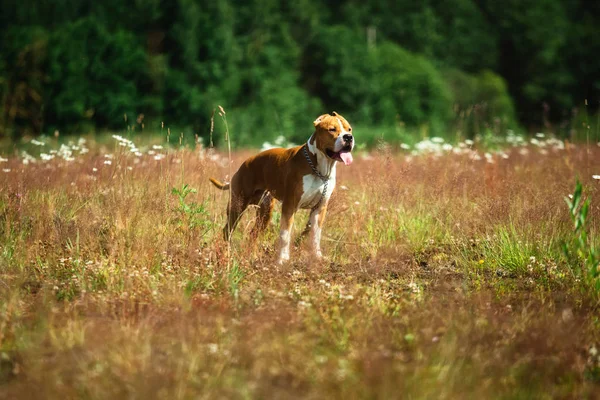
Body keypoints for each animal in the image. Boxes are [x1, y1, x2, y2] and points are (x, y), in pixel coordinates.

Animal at [209, 111, 354, 264]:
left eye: (349, 129)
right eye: (332, 129)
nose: (348, 137)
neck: (319, 169)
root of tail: (243, 166)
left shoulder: (319, 209)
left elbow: (315, 235)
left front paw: (317, 256)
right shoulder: (290, 205)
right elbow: (285, 234)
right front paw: (283, 259)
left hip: (265, 211)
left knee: (253, 234)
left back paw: (253, 257)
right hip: (237, 206)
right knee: (227, 231)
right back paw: (226, 253)